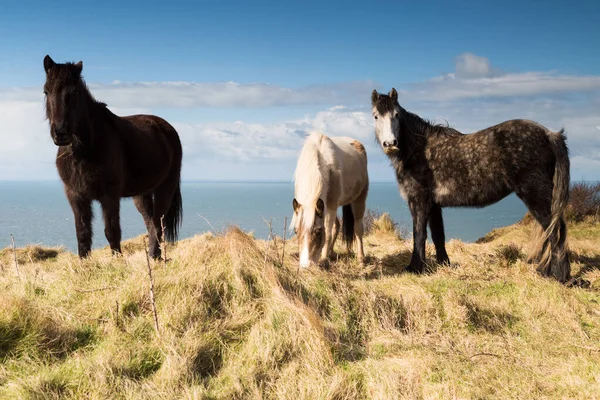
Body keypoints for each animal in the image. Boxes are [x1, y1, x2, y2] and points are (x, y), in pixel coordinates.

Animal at [43, 54, 183, 258]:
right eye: (46, 92)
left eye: (75, 92)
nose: (61, 133)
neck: (85, 149)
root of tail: (167, 128)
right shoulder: (76, 195)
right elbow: (83, 233)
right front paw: (84, 264)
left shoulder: (109, 195)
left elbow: (112, 231)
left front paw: (118, 261)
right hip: (142, 194)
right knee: (151, 224)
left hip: (165, 187)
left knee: (158, 224)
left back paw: (154, 257)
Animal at [292, 132, 370, 268]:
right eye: (296, 231)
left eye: (318, 232)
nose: (305, 265)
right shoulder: (325, 207)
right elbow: (331, 229)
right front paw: (326, 256)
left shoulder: (331, 206)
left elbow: (327, 233)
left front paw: (323, 259)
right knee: (337, 226)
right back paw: (331, 253)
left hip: (359, 199)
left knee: (358, 228)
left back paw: (361, 259)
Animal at [370, 89, 572, 282]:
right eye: (376, 116)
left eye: (396, 115)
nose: (390, 143)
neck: (419, 150)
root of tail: (549, 134)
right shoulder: (434, 205)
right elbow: (438, 235)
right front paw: (444, 265)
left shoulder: (419, 201)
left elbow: (418, 234)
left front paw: (415, 268)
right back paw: (546, 272)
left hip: (535, 194)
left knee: (556, 230)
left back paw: (561, 277)